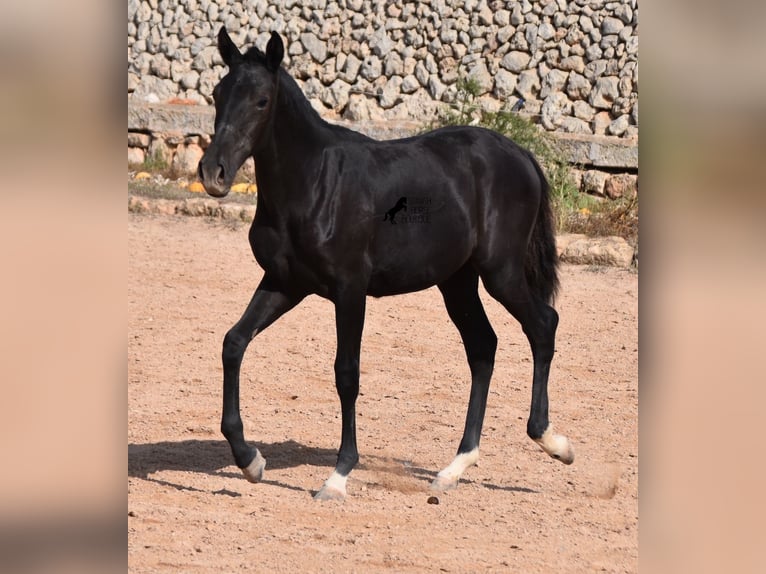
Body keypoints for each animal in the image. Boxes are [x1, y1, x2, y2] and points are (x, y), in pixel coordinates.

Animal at [200, 29, 576, 502]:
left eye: (261, 101)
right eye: (218, 93)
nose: (213, 173)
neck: (315, 182)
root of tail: (520, 153)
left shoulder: (350, 290)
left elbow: (346, 374)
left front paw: (338, 476)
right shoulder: (285, 282)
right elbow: (234, 343)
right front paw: (250, 461)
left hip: (500, 273)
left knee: (543, 324)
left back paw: (554, 443)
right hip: (457, 281)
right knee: (482, 346)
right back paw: (454, 468)